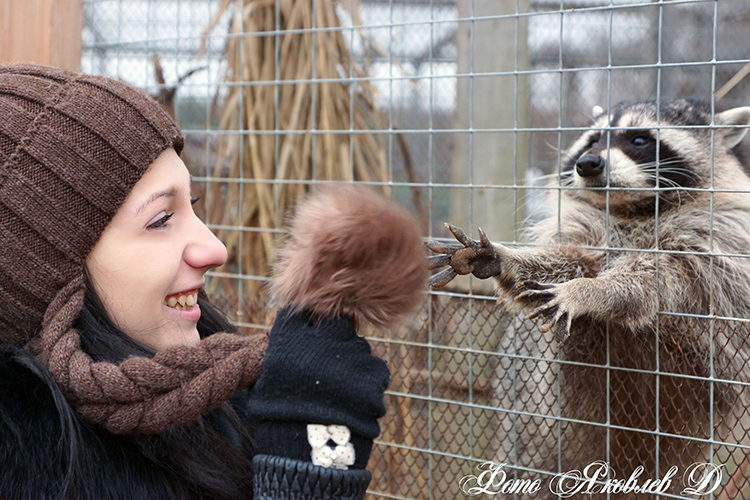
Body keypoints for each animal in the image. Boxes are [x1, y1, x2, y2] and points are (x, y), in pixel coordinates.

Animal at [432, 99, 750, 498]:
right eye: (593, 139)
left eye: (639, 139)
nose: (588, 163)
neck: (635, 208)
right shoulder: (584, 230)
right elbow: (563, 261)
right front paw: (509, 259)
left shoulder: (711, 242)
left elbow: (651, 283)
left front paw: (590, 291)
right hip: (537, 419)